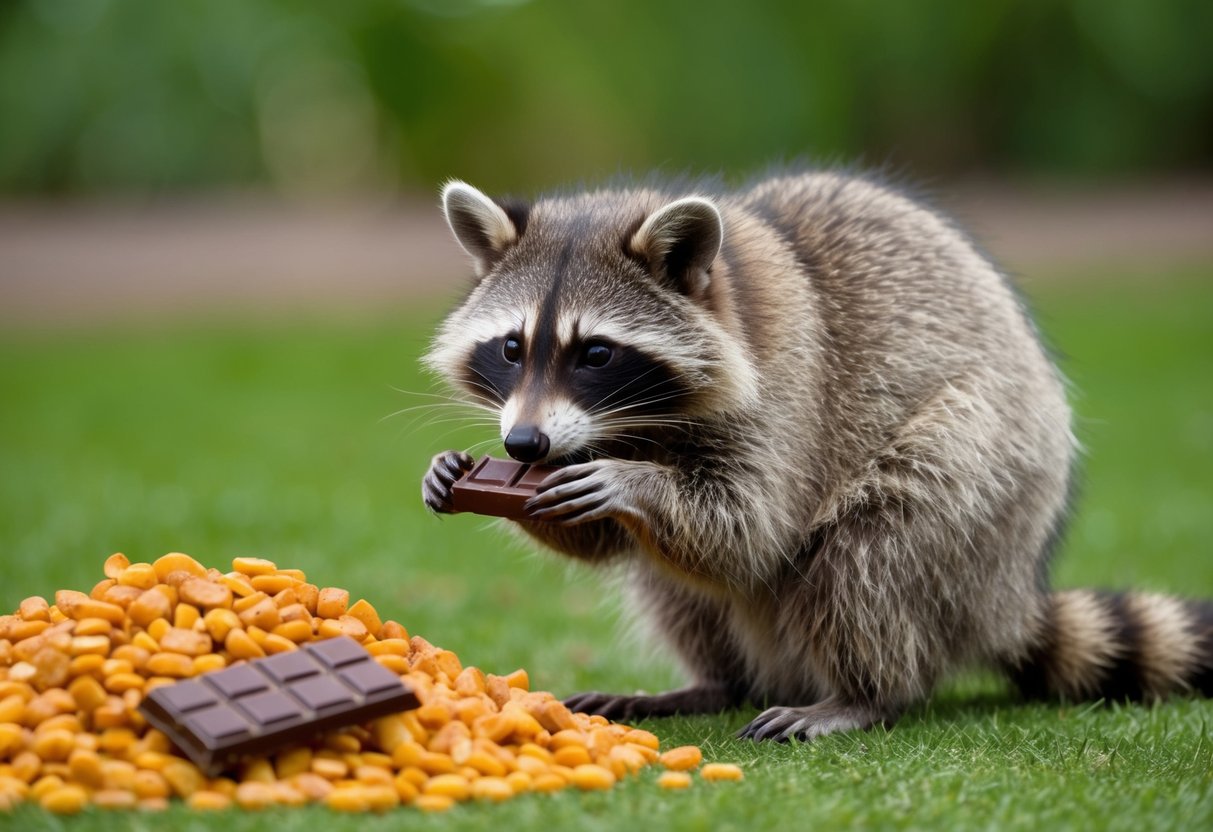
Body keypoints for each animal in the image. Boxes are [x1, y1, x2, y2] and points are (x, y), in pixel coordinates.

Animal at [421, 171, 1213, 741]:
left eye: (594, 354)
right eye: (512, 347)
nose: (523, 444)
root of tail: (1005, 594)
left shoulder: (789, 392)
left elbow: (749, 529)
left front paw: (631, 483)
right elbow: (614, 542)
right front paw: (475, 476)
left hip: (990, 468)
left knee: (873, 551)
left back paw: (865, 693)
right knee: (671, 586)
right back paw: (714, 682)